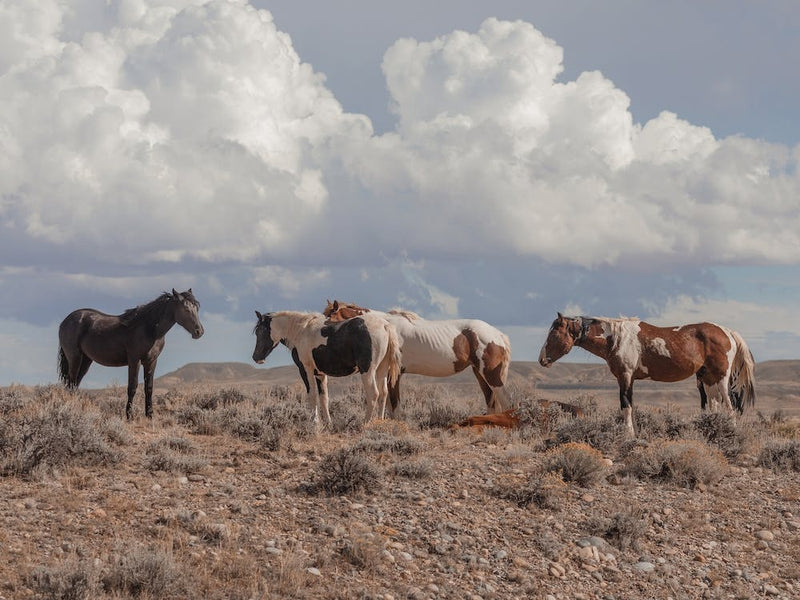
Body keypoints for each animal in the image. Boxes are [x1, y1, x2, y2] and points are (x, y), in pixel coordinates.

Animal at [58, 289, 204, 419]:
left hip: (86, 360)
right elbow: (132, 387)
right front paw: (129, 416)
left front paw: (150, 415)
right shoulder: (135, 360)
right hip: (75, 358)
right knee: (70, 382)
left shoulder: (151, 361)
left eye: (197, 307)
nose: (199, 331)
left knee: (74, 384)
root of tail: (65, 321)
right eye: (186, 308)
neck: (149, 329)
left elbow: (149, 388)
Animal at [252, 310, 402, 428]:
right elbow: (324, 397)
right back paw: (379, 421)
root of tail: (385, 326)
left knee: (373, 394)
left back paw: (365, 423)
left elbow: (312, 395)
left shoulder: (306, 370)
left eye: (261, 331)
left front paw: (315, 422)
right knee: (383, 393)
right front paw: (328, 423)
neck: (300, 331)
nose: (256, 357)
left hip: (368, 371)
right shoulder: (320, 374)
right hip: (382, 369)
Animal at [323, 300, 512, 415]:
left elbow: (395, 404)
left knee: (505, 400)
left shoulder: (394, 374)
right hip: (479, 373)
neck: (385, 326)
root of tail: (498, 334)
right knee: (491, 400)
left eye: (329, 317)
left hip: (490, 374)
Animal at [538, 312, 756, 435]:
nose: (542, 360)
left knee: (730, 407)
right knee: (714, 405)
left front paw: (628, 434)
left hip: (721, 379)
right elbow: (630, 406)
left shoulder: (625, 377)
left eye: (555, 333)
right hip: (708, 379)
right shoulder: (629, 379)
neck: (616, 339)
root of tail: (728, 332)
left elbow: (626, 406)